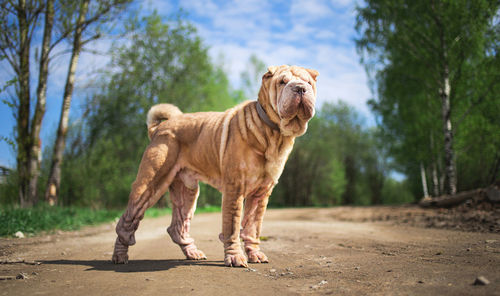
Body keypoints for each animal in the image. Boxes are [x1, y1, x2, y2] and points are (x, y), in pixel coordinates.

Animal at [112, 65, 318, 268]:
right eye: (282, 82)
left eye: (308, 82)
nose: (300, 88)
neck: (273, 133)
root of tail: (158, 129)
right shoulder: (235, 189)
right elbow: (232, 226)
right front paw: (235, 257)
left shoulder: (261, 193)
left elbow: (252, 227)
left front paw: (255, 254)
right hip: (150, 185)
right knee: (126, 222)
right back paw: (120, 256)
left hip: (187, 191)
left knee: (177, 227)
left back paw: (193, 253)